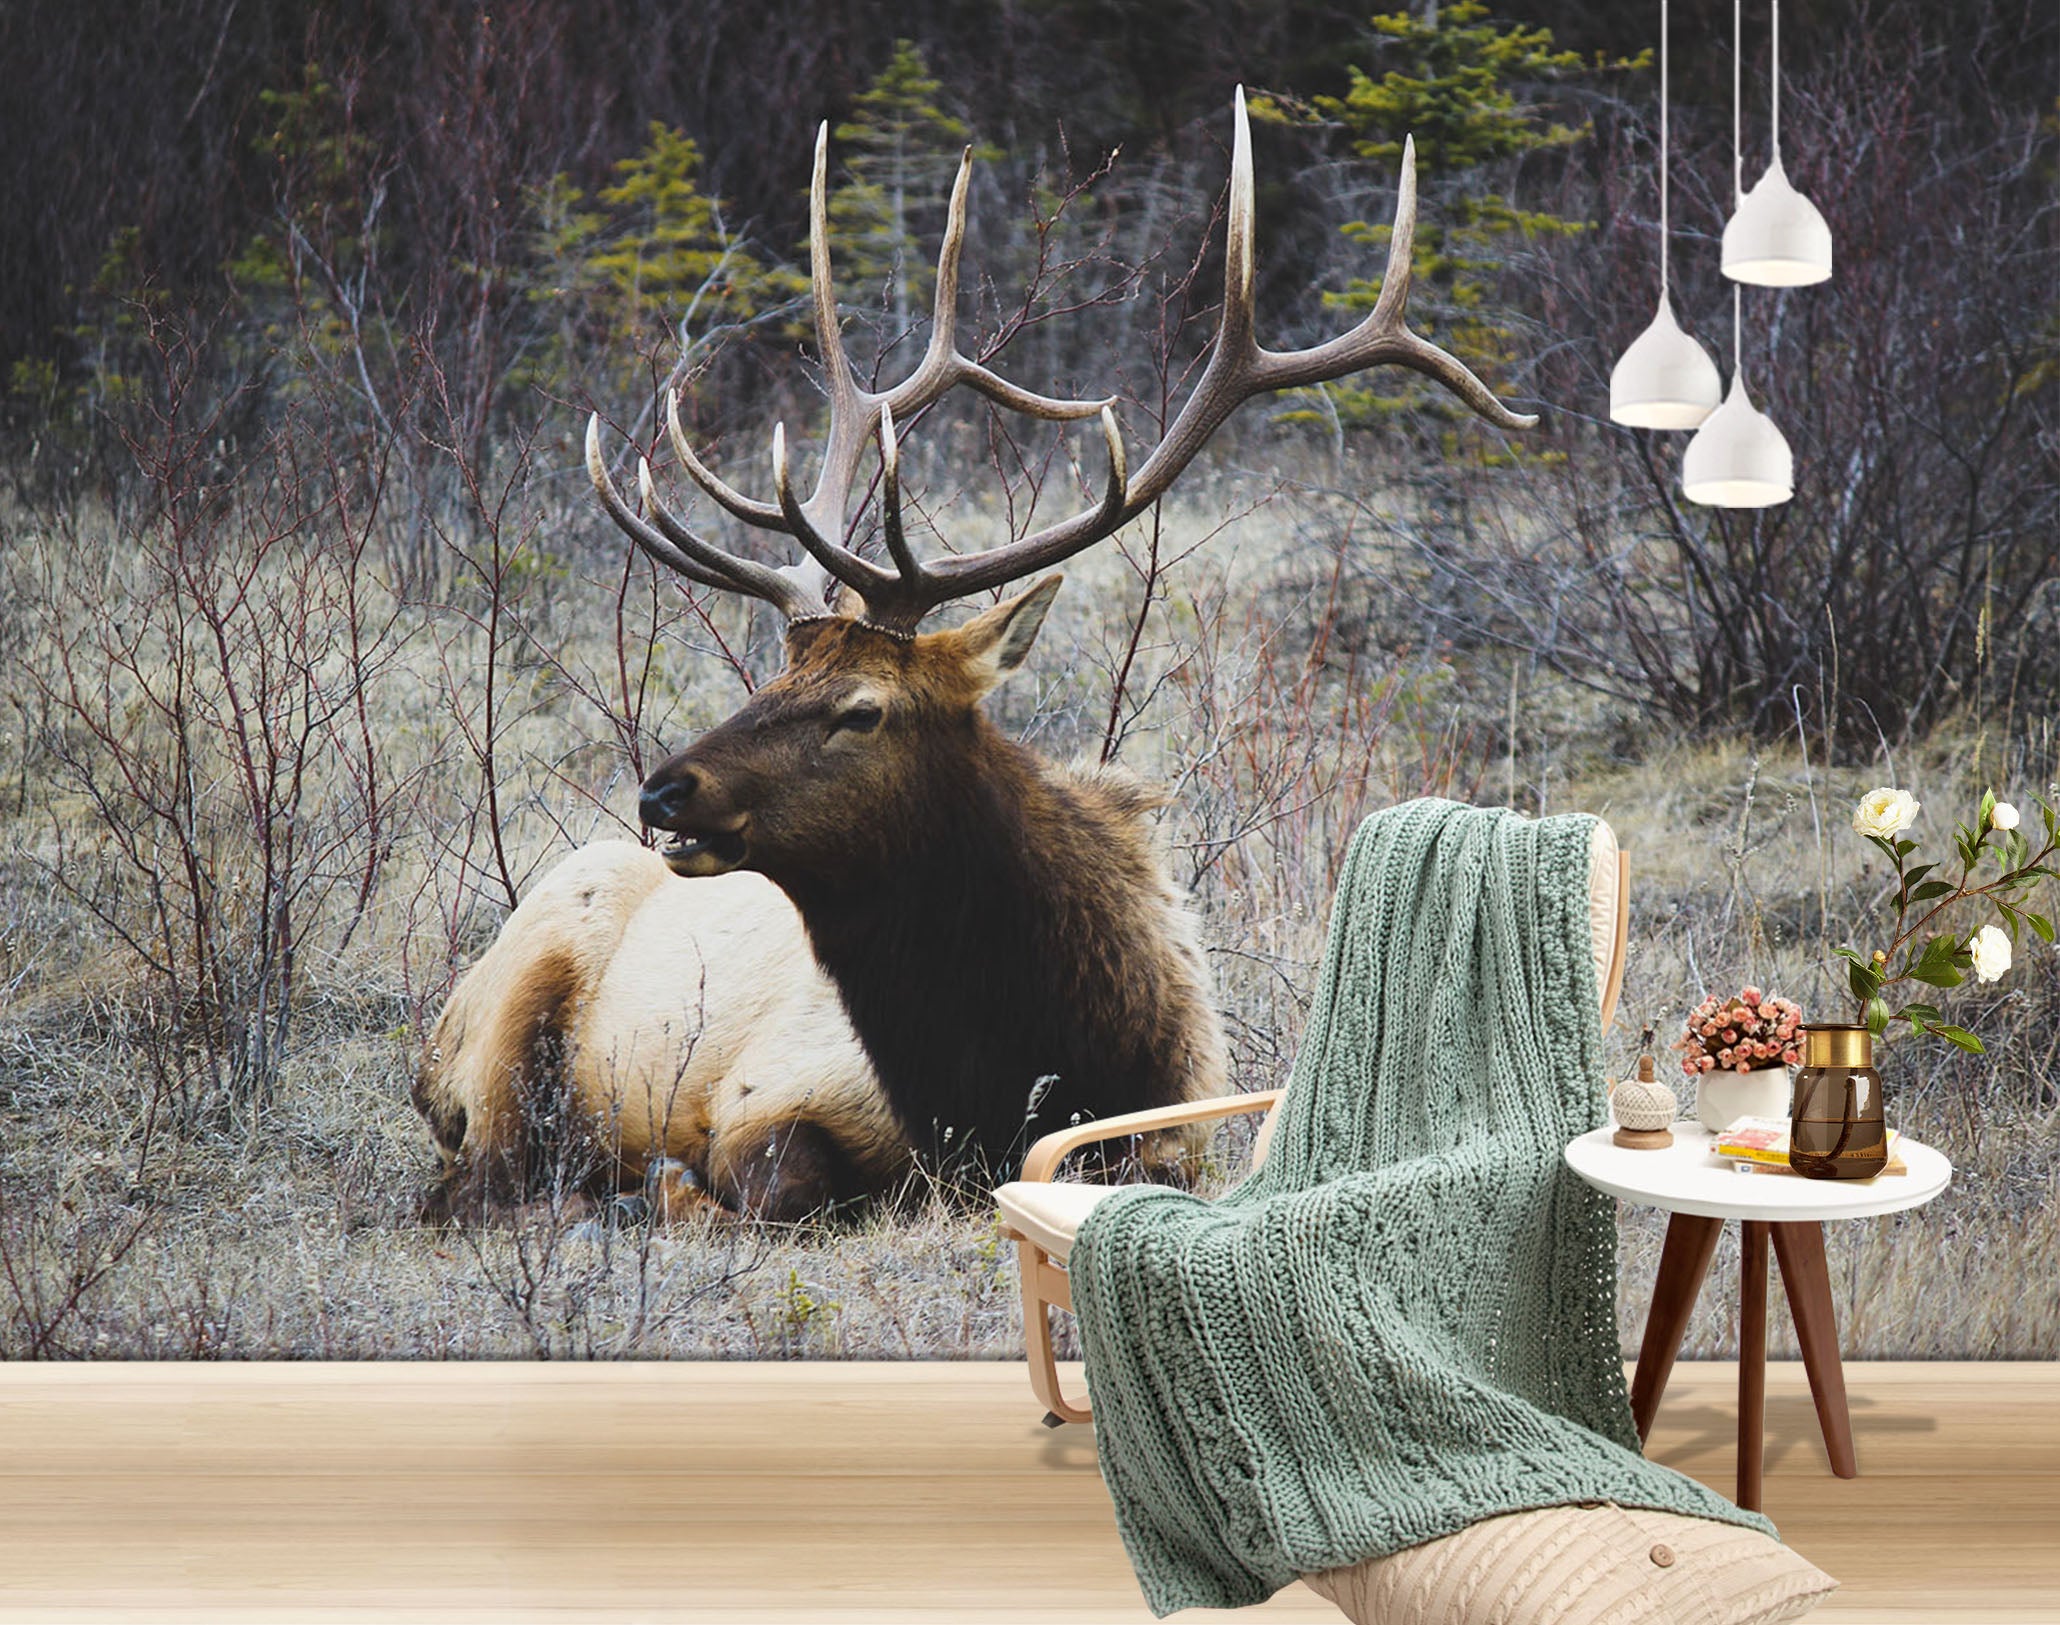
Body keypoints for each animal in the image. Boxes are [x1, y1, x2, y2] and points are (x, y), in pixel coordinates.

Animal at [413, 90, 1535, 1225]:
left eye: (861, 708)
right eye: (773, 678)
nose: (663, 791)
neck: (1023, 1070)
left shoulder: (1178, 1130)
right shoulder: (763, 1091)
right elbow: (768, 1181)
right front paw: (661, 1181)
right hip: (505, 1021)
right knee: (474, 1179)